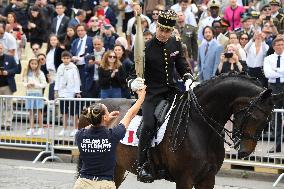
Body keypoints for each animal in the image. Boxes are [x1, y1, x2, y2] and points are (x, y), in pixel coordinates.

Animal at [77, 73, 284, 189]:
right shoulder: (185, 179)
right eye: (255, 117)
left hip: (117, 168)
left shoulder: (207, 179)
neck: (200, 126)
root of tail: (93, 106)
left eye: (268, 120)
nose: (245, 152)